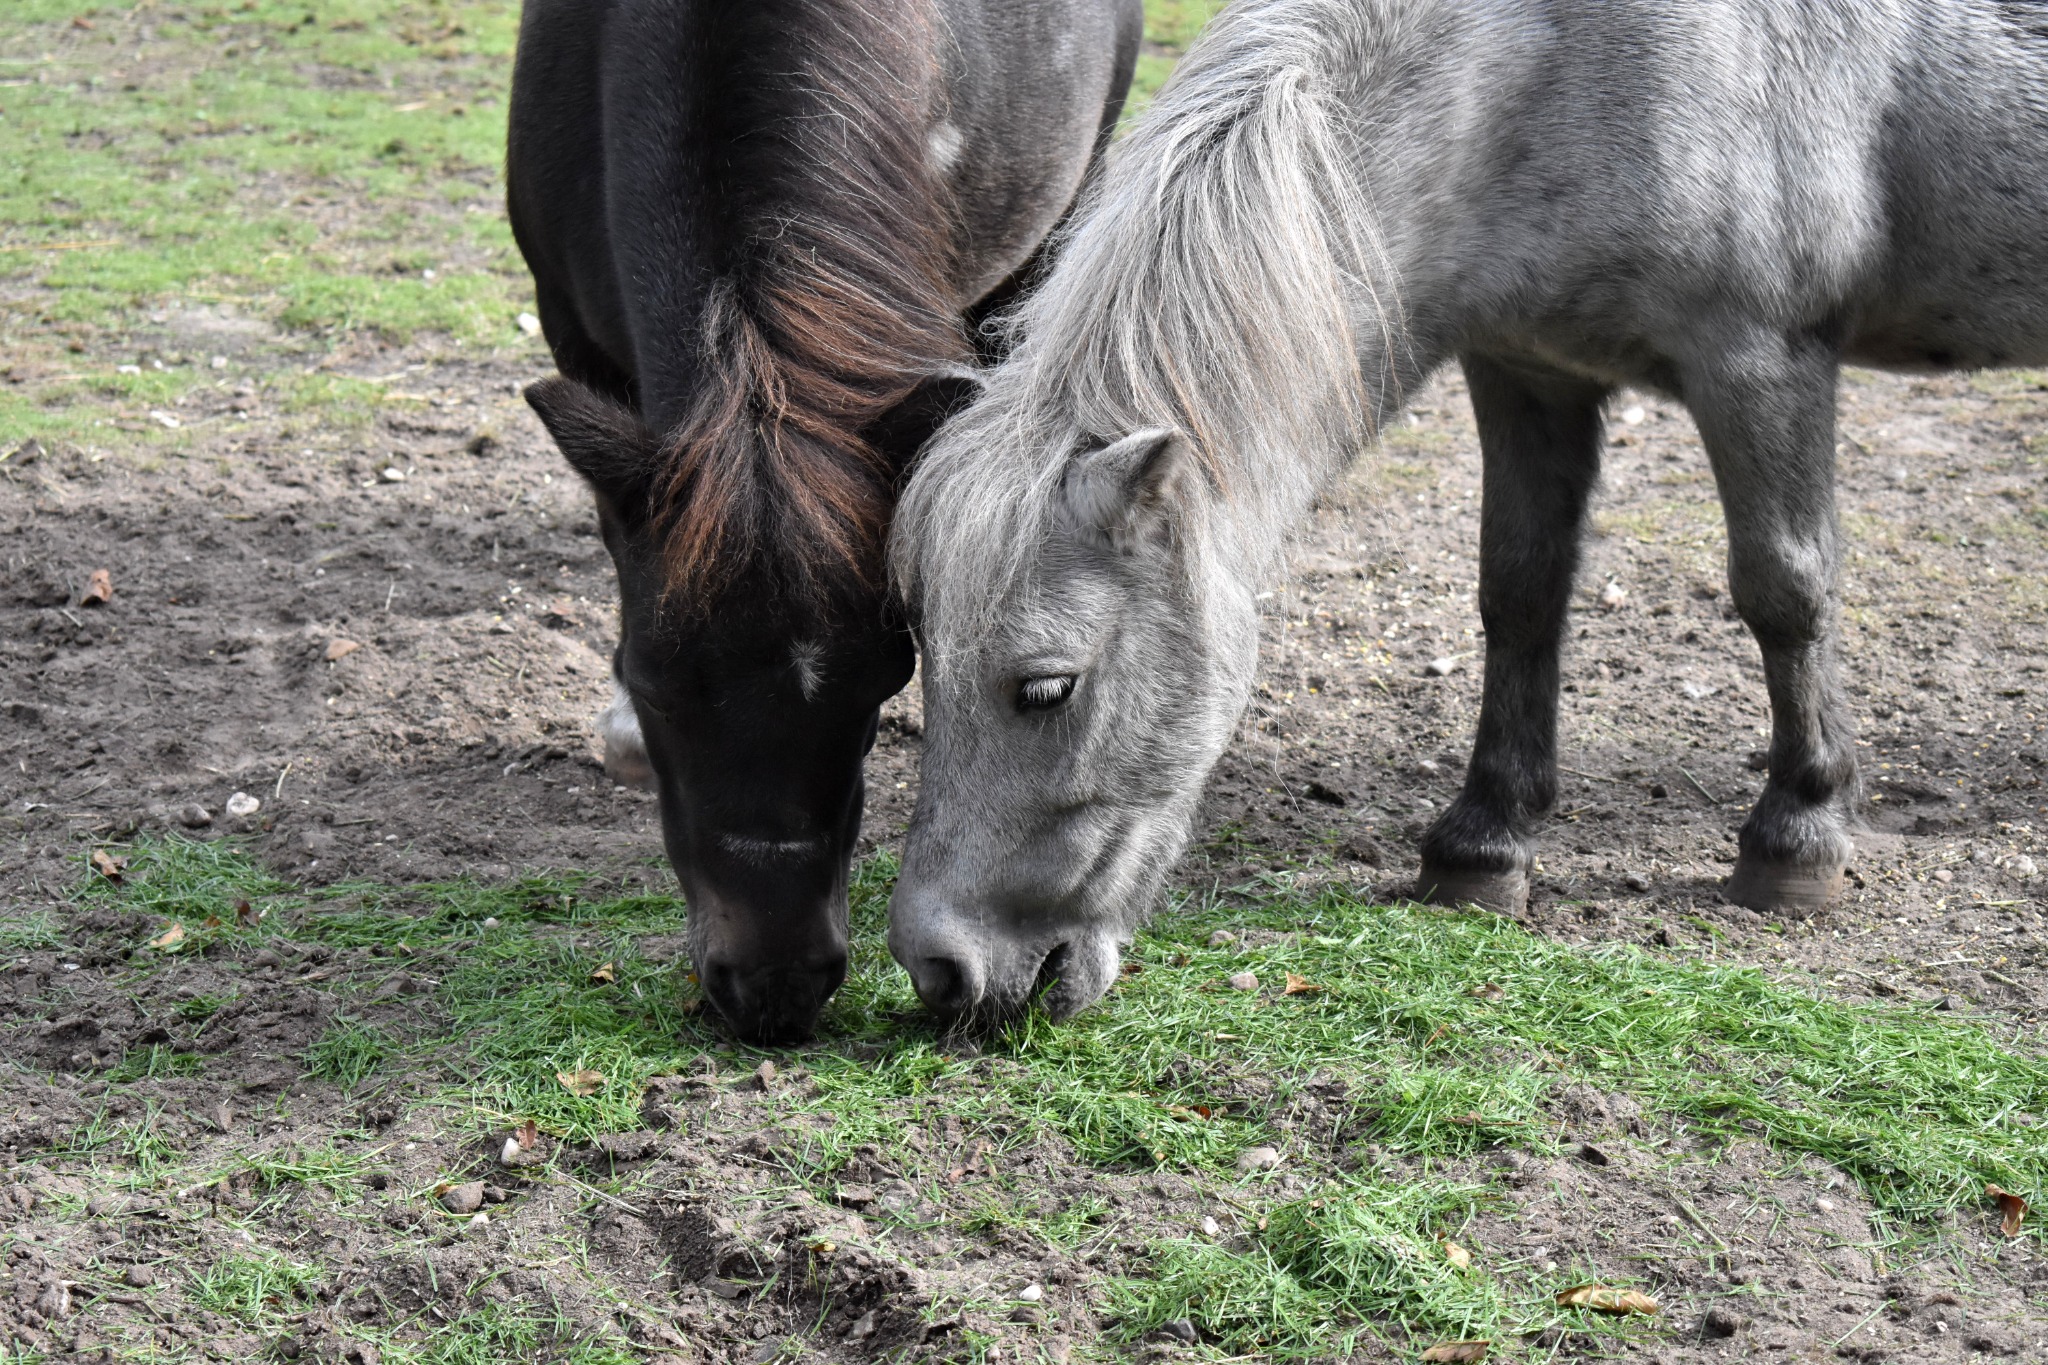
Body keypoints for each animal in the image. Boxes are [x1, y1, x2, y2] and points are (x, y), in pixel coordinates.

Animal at [885, 0, 2048, 1023]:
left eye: (1045, 688)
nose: (939, 968)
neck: (1549, 67)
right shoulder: (1525, 370)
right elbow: (1518, 596)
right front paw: (1484, 841)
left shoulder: (1758, 359)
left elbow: (1782, 588)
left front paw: (1795, 832)